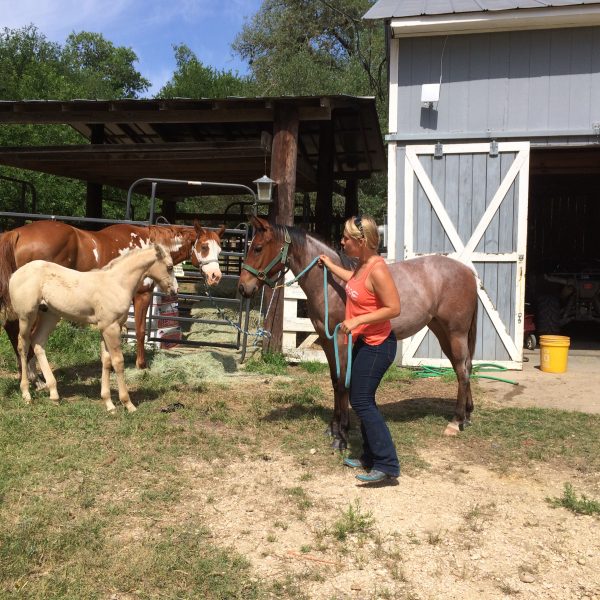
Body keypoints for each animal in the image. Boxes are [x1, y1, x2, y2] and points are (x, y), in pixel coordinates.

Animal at [0, 218, 224, 372]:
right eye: (204, 246)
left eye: (220, 250)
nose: (215, 276)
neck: (147, 248)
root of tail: (16, 233)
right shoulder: (142, 295)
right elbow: (140, 331)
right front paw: (141, 364)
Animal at [7, 244, 177, 412]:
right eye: (169, 267)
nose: (174, 291)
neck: (117, 283)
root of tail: (15, 274)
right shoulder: (111, 328)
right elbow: (118, 362)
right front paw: (128, 403)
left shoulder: (105, 328)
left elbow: (106, 361)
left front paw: (109, 403)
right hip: (26, 316)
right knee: (22, 345)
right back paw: (26, 393)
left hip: (50, 315)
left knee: (38, 342)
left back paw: (54, 394)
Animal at [239, 218, 478, 448]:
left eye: (258, 248)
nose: (243, 288)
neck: (331, 285)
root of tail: (468, 272)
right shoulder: (327, 340)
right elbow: (335, 380)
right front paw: (333, 427)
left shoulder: (342, 339)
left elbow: (343, 381)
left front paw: (342, 433)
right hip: (442, 331)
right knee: (465, 367)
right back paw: (466, 416)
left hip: (455, 333)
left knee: (462, 370)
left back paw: (456, 421)